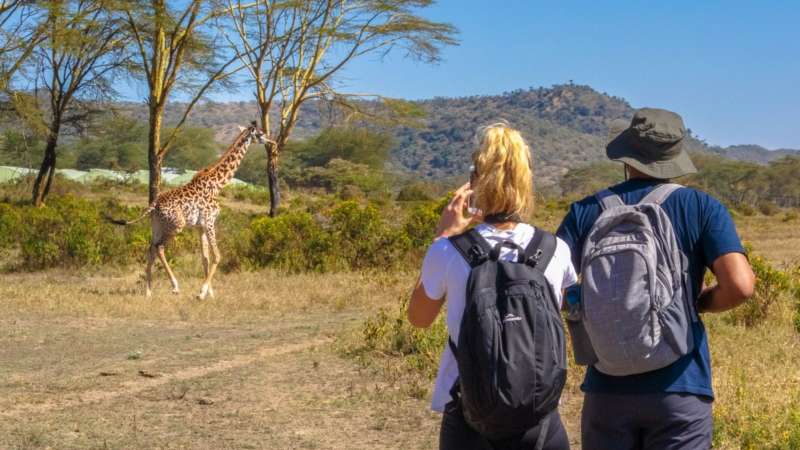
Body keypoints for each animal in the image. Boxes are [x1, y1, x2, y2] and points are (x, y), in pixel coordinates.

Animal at [109, 122, 270, 299]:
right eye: (261, 134)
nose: (271, 141)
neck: (217, 185)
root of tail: (154, 204)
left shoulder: (200, 226)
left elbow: (205, 258)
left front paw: (209, 293)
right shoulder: (209, 221)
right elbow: (217, 256)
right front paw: (202, 293)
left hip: (157, 225)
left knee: (151, 248)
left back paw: (148, 292)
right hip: (176, 225)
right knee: (160, 248)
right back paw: (175, 286)